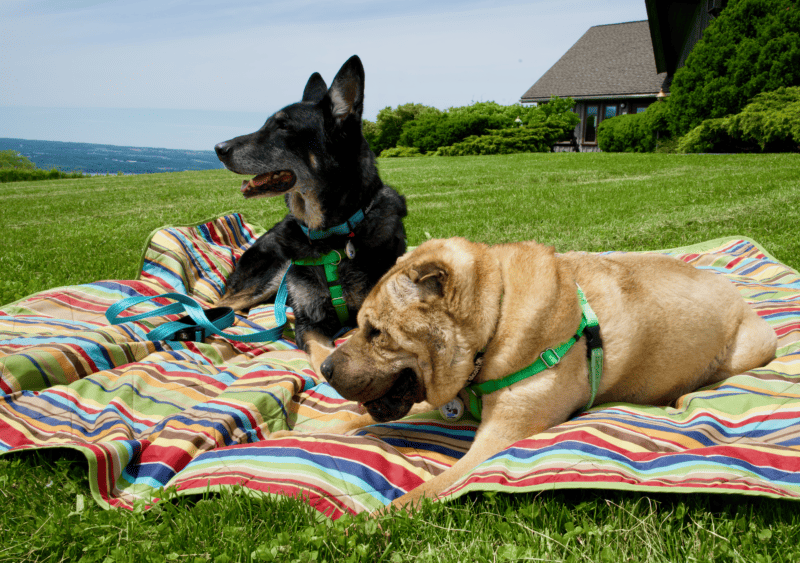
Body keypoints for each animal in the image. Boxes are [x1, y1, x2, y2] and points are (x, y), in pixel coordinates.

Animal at [212, 55, 406, 368]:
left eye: (283, 127)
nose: (218, 148)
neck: (331, 236)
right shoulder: (308, 321)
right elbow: (320, 351)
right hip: (267, 279)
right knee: (216, 306)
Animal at [280, 240, 776, 512]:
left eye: (376, 332)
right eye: (360, 326)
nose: (325, 367)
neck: (494, 322)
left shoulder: (496, 440)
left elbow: (424, 491)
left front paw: (372, 522)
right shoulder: (451, 399)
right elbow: (365, 417)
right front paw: (313, 426)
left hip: (749, 349)